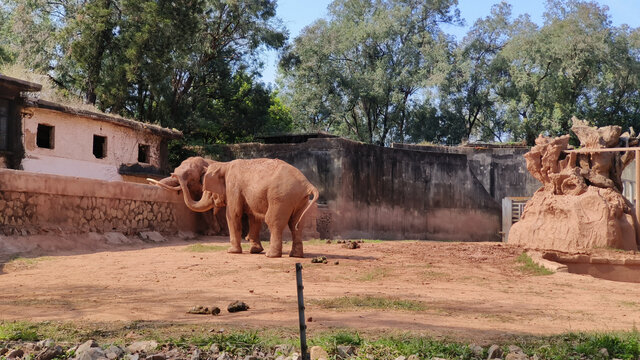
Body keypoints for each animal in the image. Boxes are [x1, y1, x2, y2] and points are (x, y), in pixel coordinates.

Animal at [175, 159, 318, 258]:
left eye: (207, 190)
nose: (175, 173)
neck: (224, 164)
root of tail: (307, 184)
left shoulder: (233, 186)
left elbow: (233, 214)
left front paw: (232, 251)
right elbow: (254, 218)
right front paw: (255, 251)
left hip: (281, 198)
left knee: (273, 221)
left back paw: (271, 255)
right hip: (300, 199)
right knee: (296, 225)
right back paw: (295, 255)